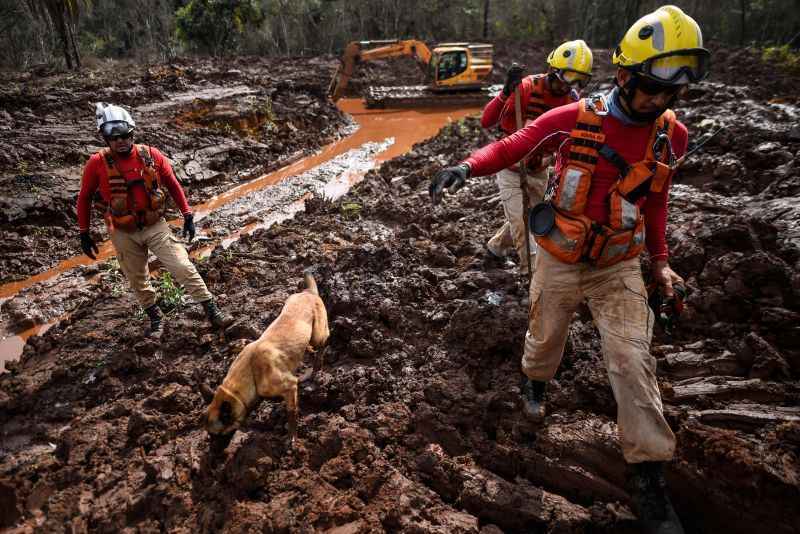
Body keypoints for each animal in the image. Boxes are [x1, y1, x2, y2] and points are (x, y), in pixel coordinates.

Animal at [206, 272, 332, 444]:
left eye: (218, 436)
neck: (251, 372)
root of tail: (308, 292)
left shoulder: (290, 386)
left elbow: (291, 413)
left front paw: (292, 437)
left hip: (317, 335)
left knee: (323, 343)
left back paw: (316, 367)